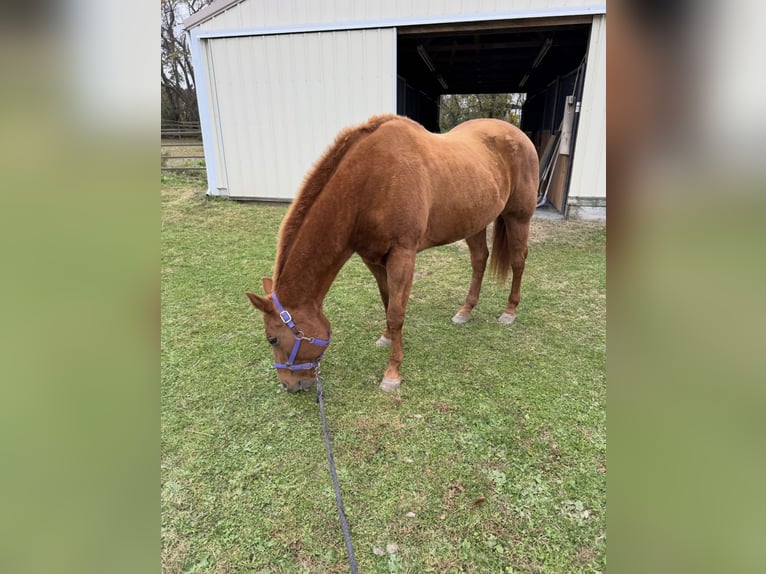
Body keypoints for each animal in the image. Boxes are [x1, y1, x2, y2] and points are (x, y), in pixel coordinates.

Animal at [246, 114, 539, 393]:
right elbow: (387, 301)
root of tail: (519, 135)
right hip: (474, 221)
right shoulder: (373, 258)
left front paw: (392, 374)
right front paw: (387, 339)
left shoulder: (403, 254)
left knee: (518, 261)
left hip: (518, 217)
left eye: (272, 338)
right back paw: (465, 311)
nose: (289, 385)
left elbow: (396, 313)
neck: (369, 181)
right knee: (479, 260)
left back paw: (509, 311)